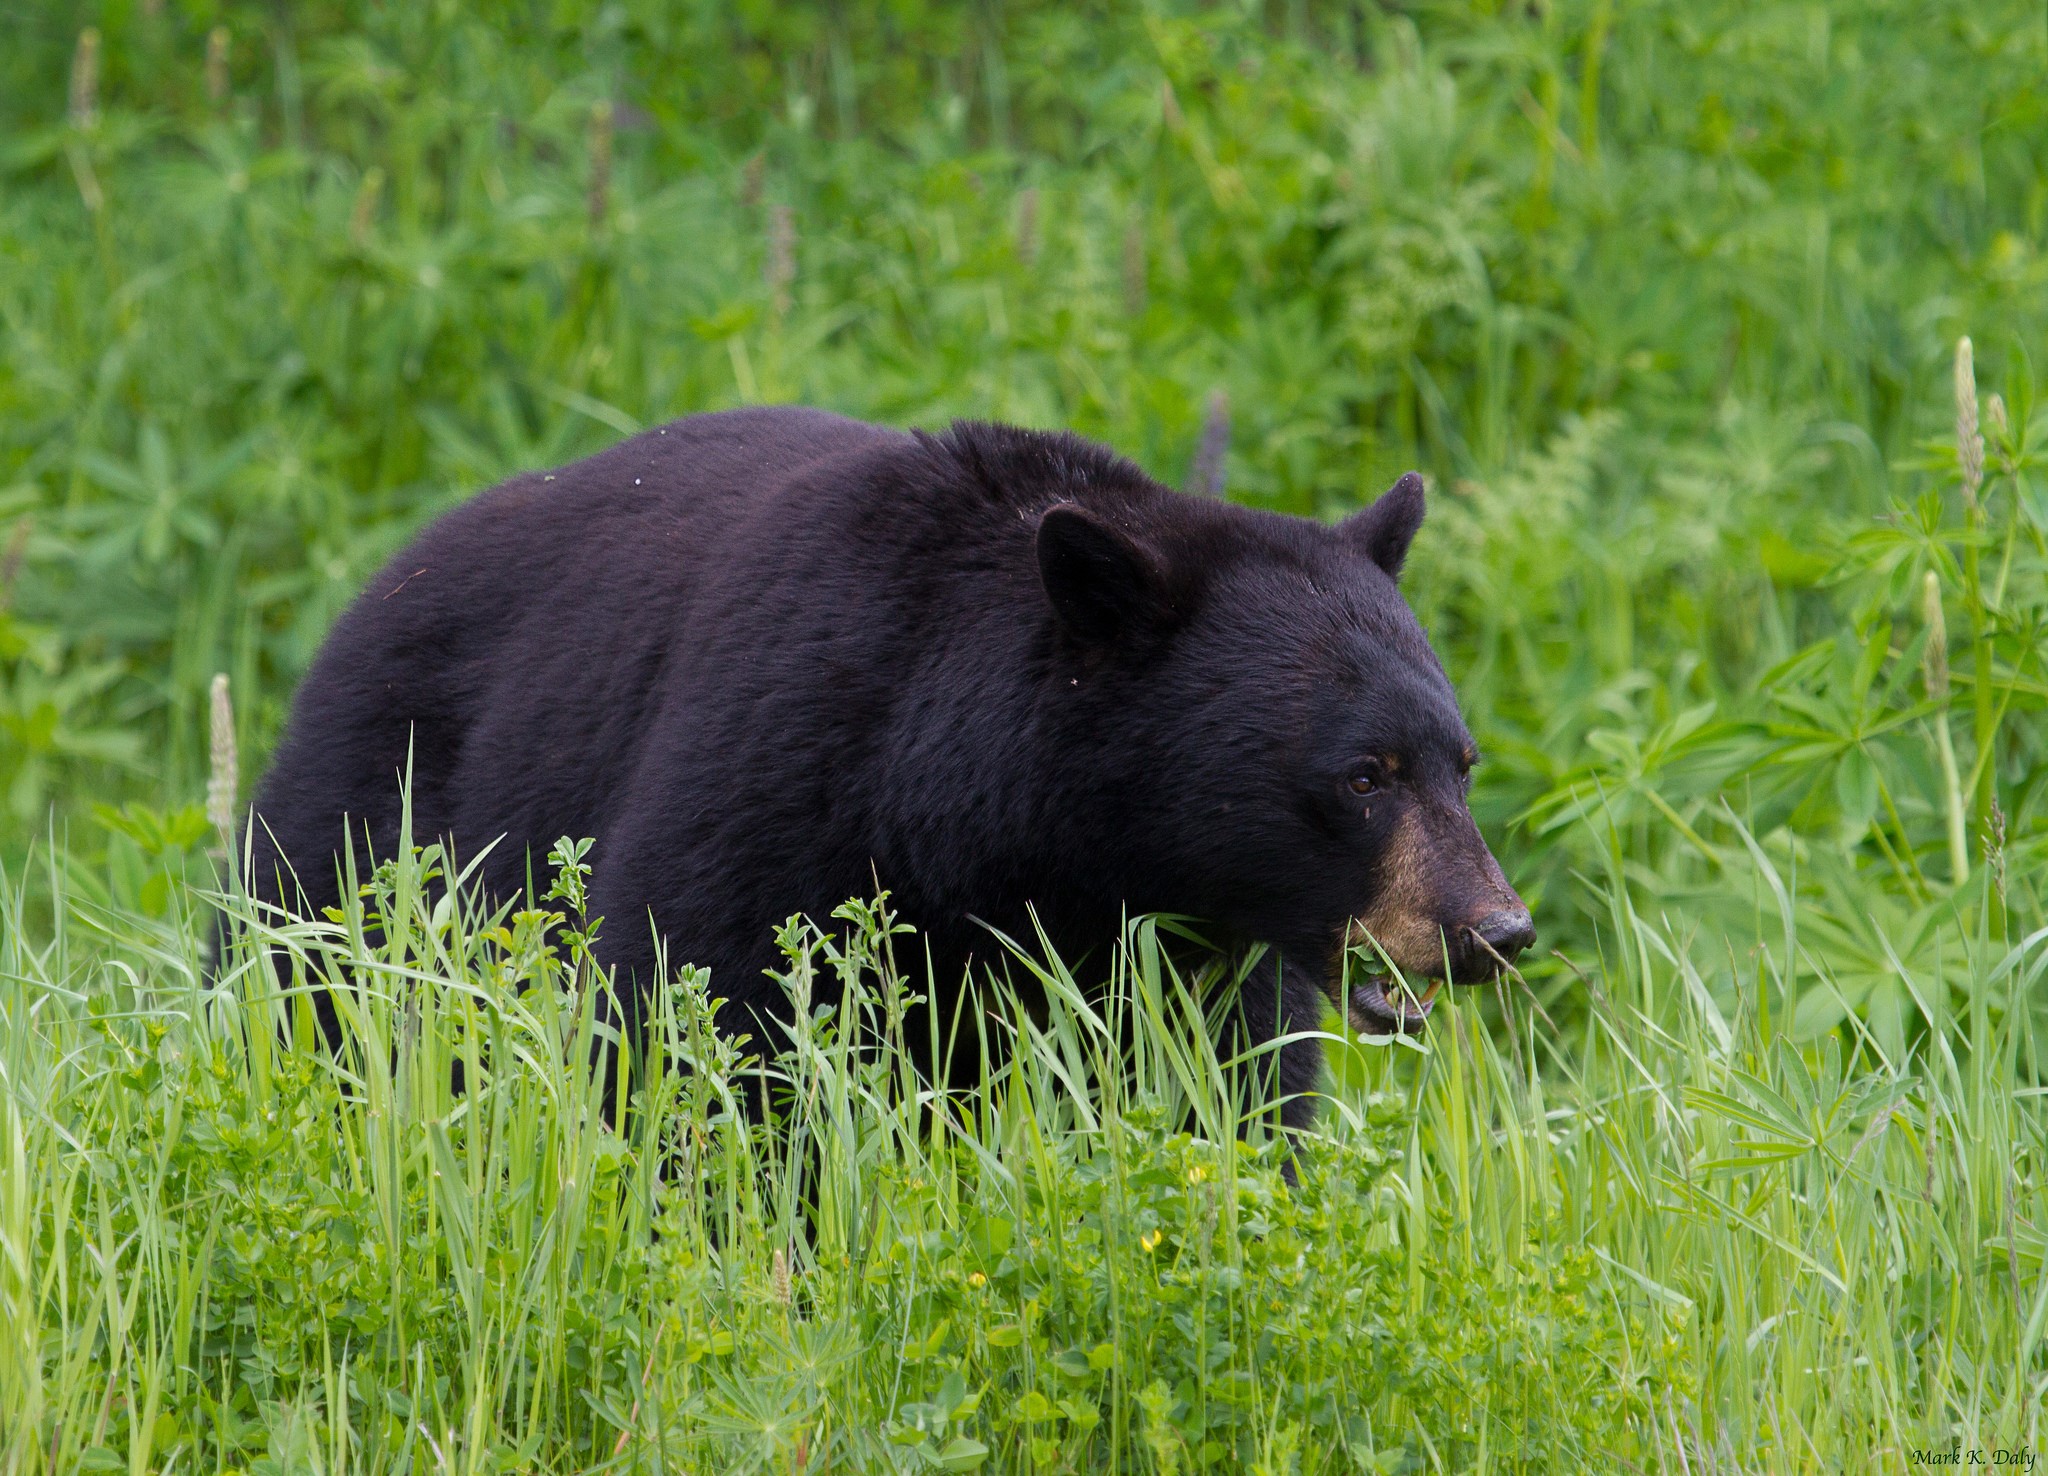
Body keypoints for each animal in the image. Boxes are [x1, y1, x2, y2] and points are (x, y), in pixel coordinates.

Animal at [246, 407, 1533, 1133]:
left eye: (1459, 764)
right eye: (1361, 775)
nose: (1493, 929)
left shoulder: (1193, 949)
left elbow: (1230, 1098)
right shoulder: (780, 774)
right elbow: (697, 1032)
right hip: (370, 831)